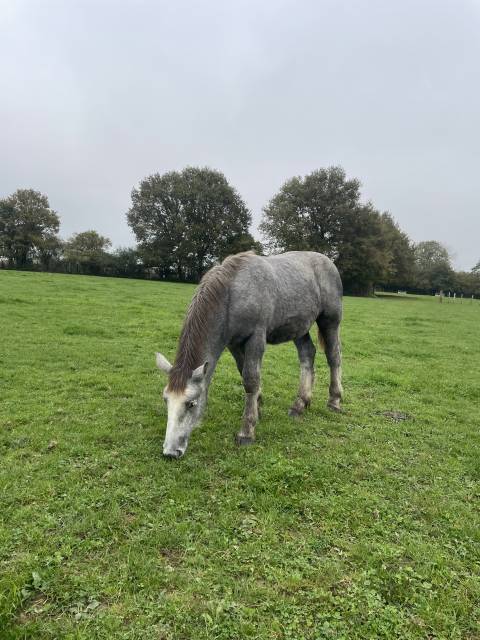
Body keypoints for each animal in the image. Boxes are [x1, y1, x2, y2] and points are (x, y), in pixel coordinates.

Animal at [156, 248, 344, 458]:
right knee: (307, 355)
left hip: (330, 321)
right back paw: (300, 404)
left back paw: (334, 401)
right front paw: (258, 407)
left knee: (334, 357)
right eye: (166, 400)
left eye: (191, 403)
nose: (170, 452)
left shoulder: (256, 338)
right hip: (299, 327)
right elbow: (244, 373)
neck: (231, 294)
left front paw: (247, 431)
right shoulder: (234, 344)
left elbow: (251, 380)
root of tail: (328, 261)